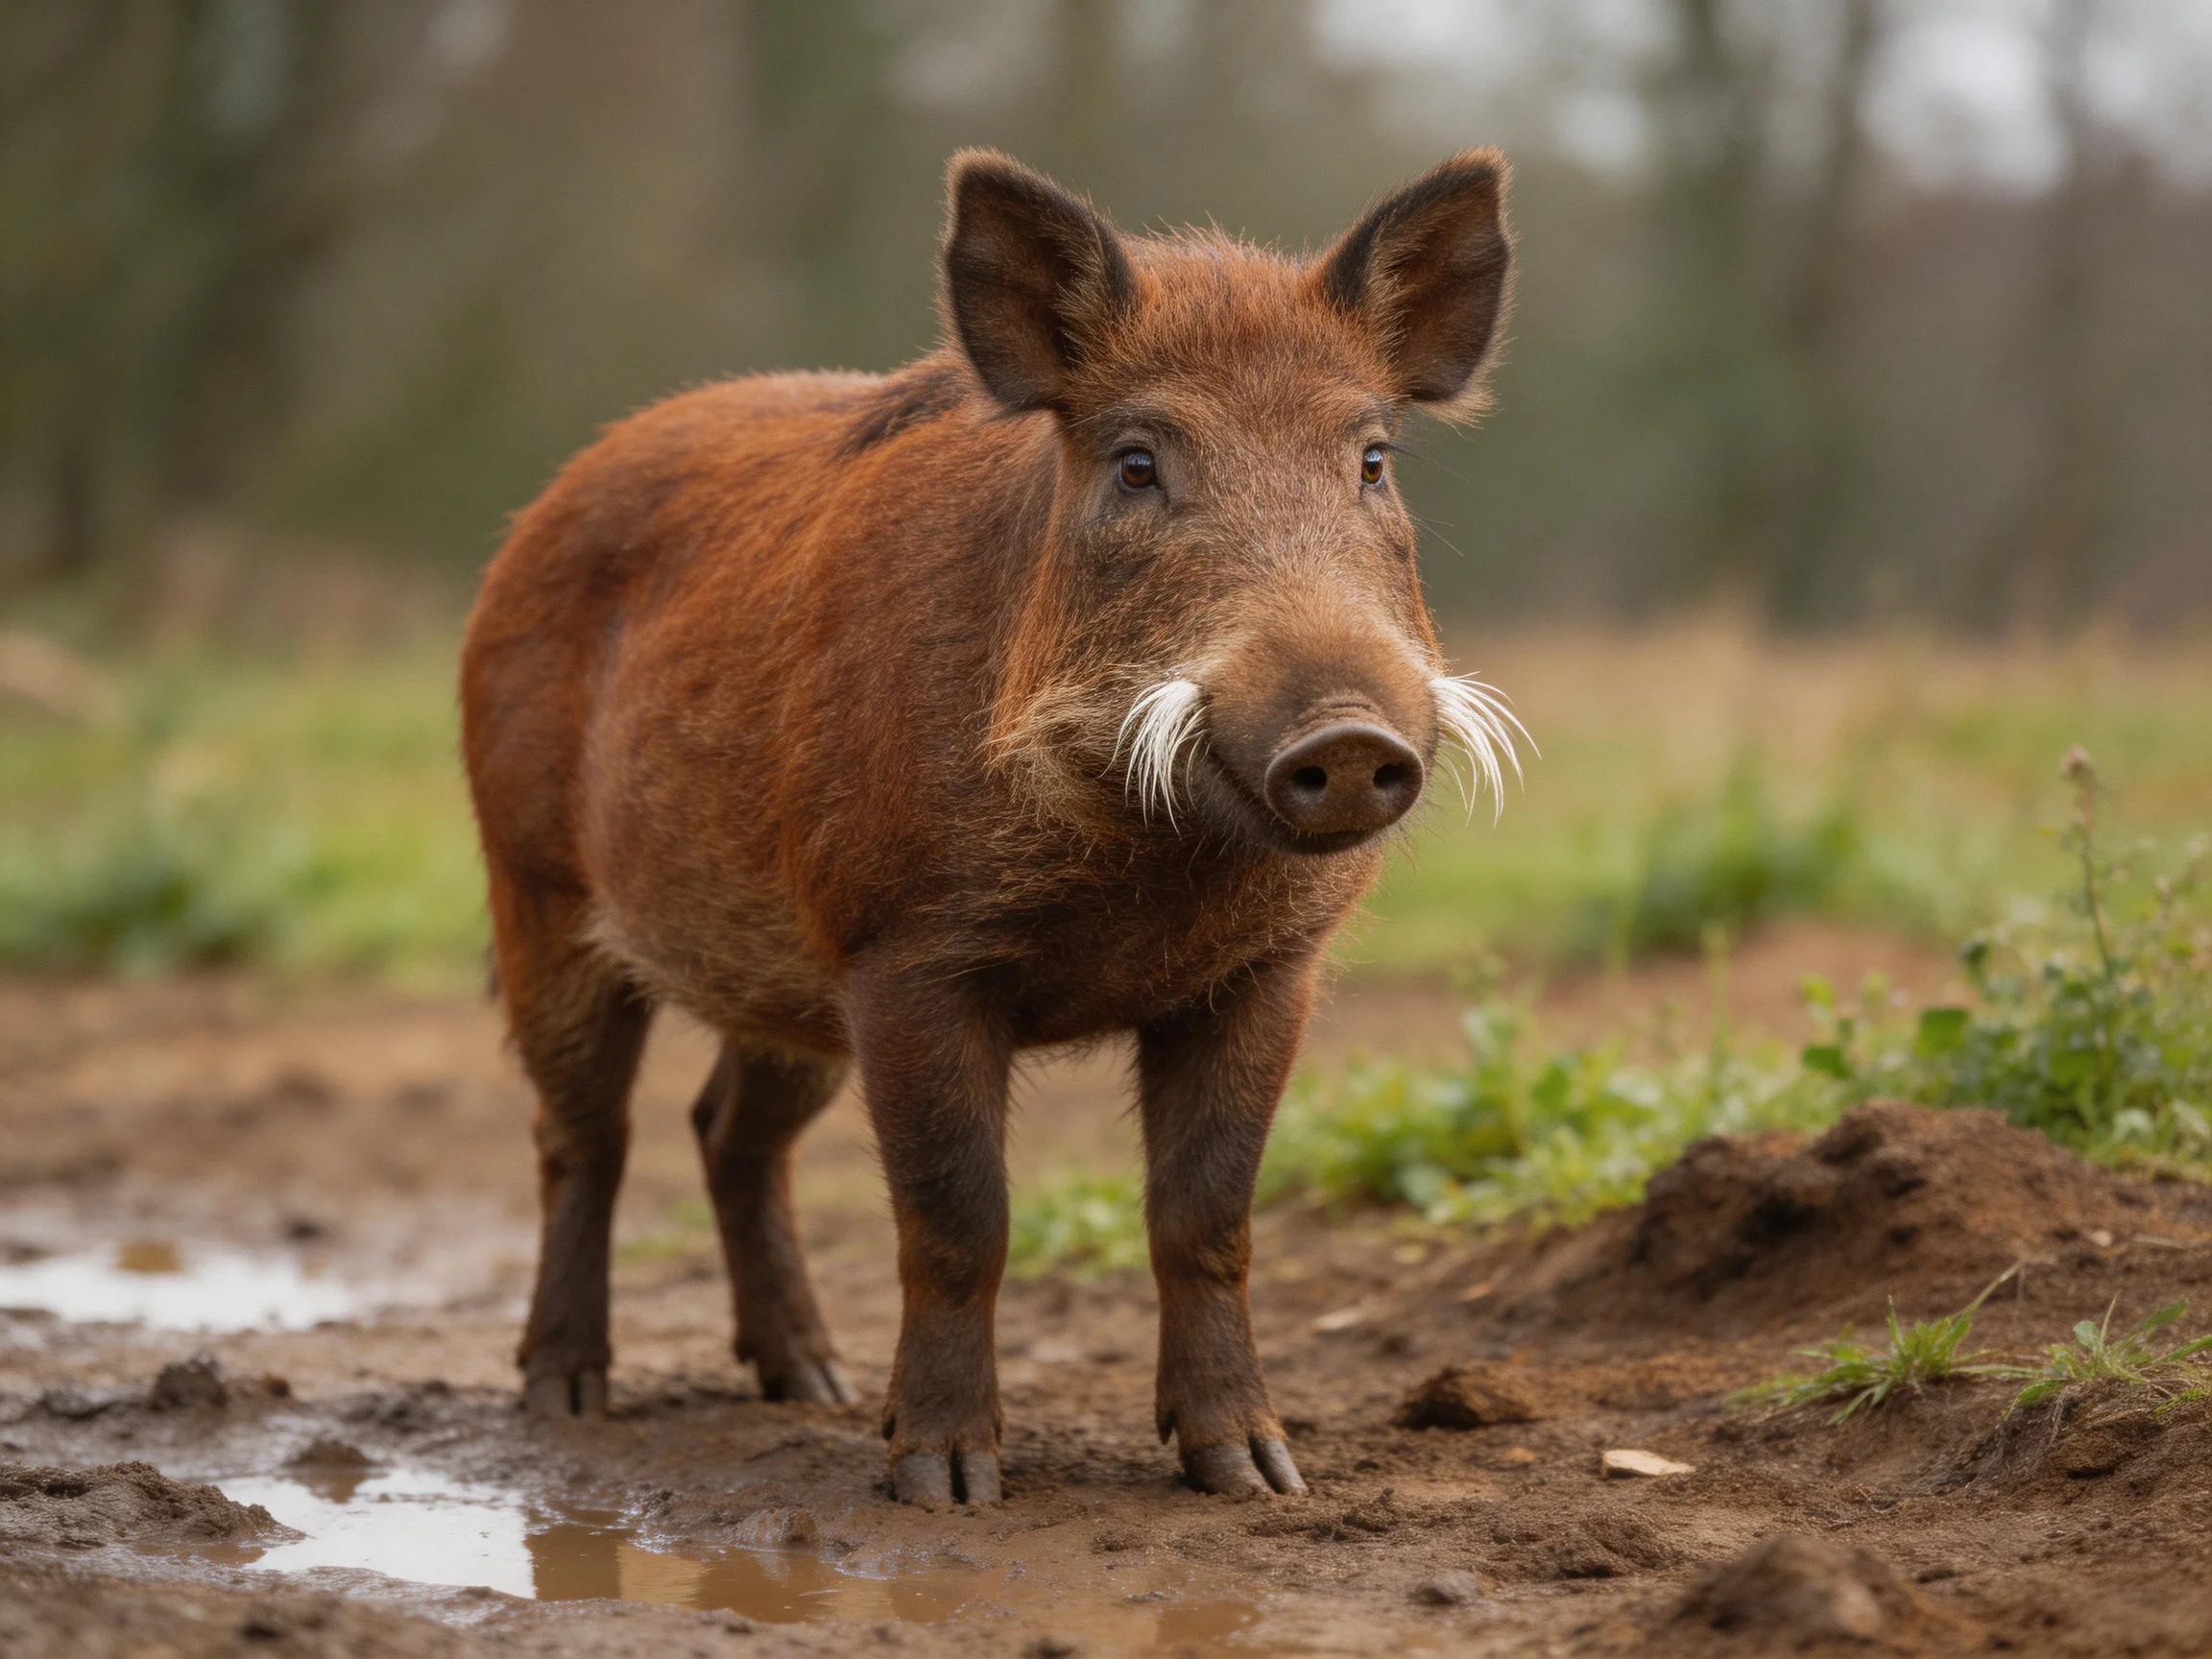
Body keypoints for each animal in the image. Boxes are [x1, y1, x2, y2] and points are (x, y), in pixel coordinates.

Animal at [460, 147, 1526, 1507]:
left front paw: (1256, 1474)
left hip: (787, 986)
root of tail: (538, 512)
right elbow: (959, 1217)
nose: (1343, 738)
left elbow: (1207, 1216)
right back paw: (567, 1397)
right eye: (1137, 462)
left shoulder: (1265, 971)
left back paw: (813, 1385)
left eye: (1374, 459)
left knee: (730, 1133)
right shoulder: (905, 953)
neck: (1147, 867)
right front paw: (947, 1485)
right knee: (581, 1134)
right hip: (537, 895)